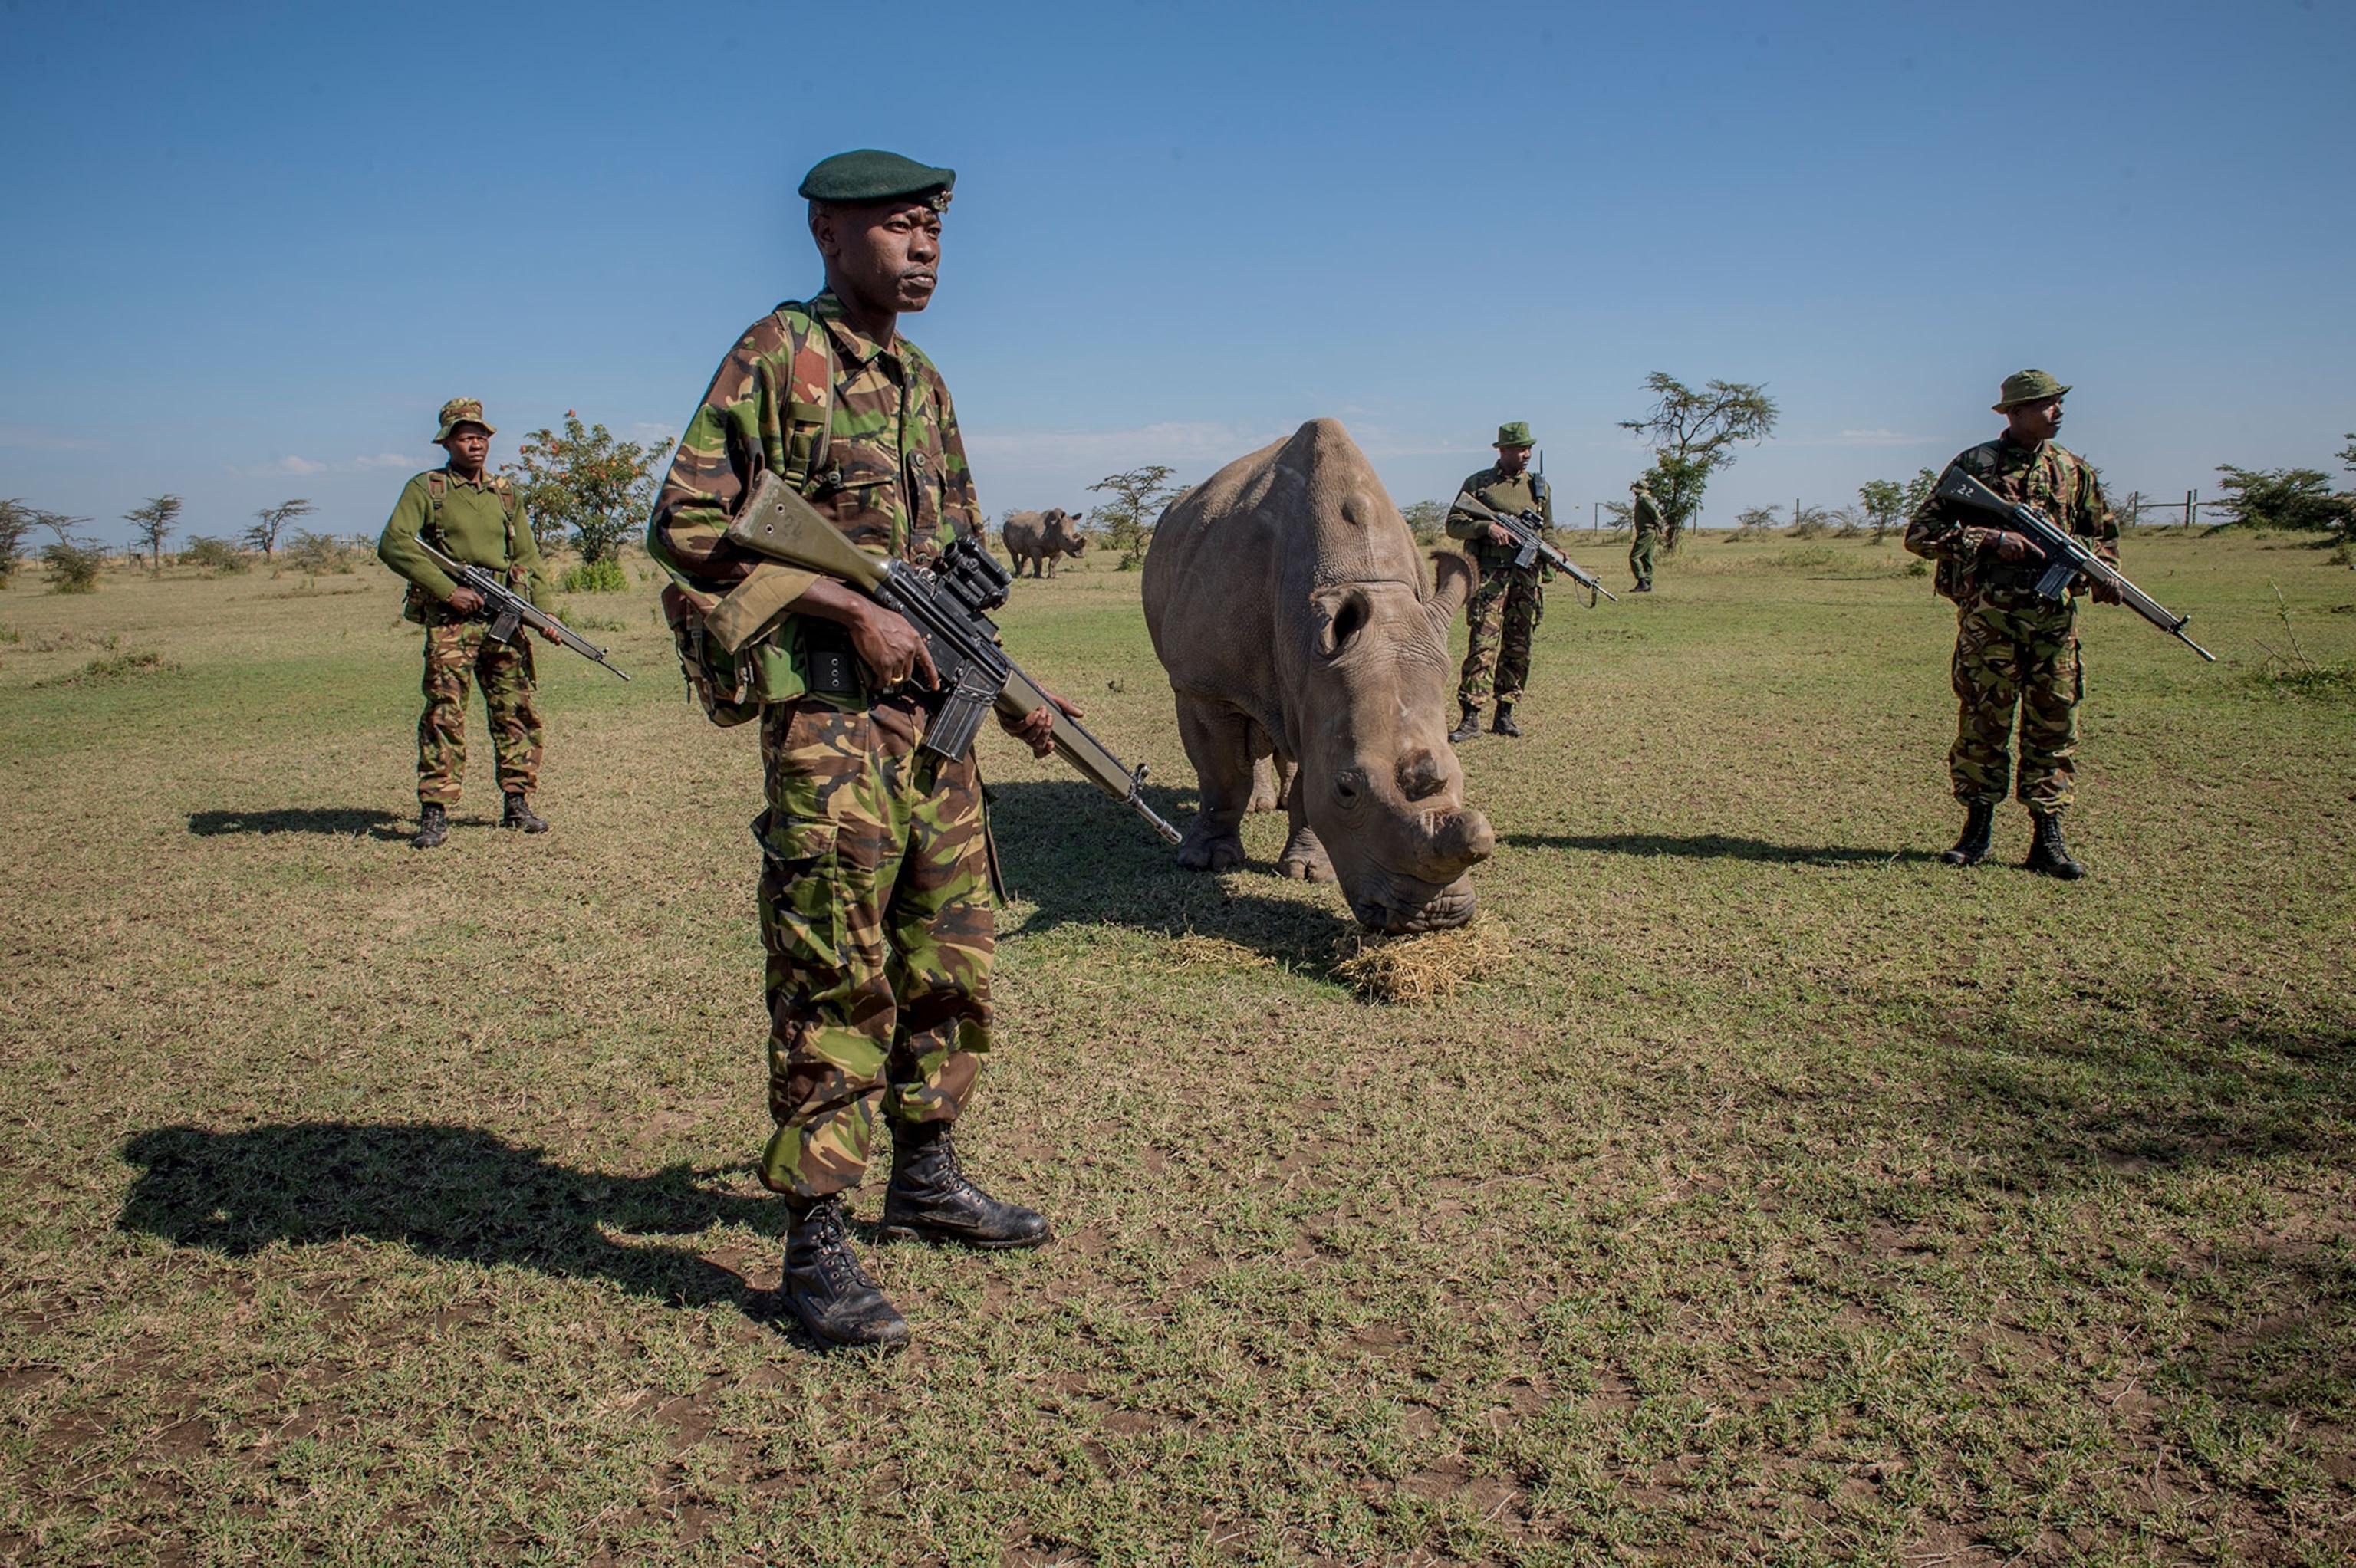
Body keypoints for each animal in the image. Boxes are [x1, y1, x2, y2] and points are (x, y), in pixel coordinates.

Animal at [1141, 418, 1494, 933]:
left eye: (1460, 776)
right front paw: (1205, 861)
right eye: (1348, 790)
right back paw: (1258, 806)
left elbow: (1310, 777)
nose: (1434, 917)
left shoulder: (1323, 682)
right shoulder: (1205, 686)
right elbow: (1221, 775)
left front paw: (1309, 871)